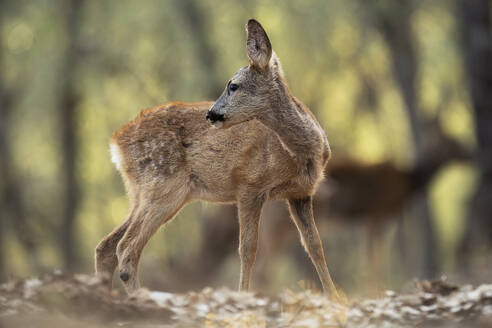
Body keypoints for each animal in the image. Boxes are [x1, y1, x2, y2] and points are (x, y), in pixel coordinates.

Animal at [96, 19, 342, 298]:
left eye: (233, 86)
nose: (211, 114)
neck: (300, 152)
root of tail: (116, 143)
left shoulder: (301, 193)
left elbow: (315, 246)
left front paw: (335, 298)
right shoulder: (249, 184)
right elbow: (248, 249)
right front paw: (244, 295)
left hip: (142, 193)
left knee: (106, 246)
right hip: (164, 185)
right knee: (126, 249)